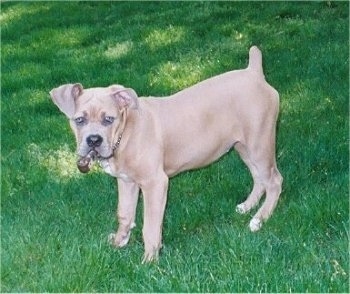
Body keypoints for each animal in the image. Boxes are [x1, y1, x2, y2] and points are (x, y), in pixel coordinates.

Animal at [50, 46, 284, 262]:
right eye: (79, 120)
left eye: (109, 119)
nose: (93, 140)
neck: (125, 134)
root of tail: (254, 72)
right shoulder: (126, 182)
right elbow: (124, 213)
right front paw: (119, 242)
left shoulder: (155, 183)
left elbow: (151, 226)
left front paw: (149, 260)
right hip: (244, 147)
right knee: (259, 178)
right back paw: (247, 207)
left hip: (260, 144)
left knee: (274, 180)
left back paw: (259, 219)